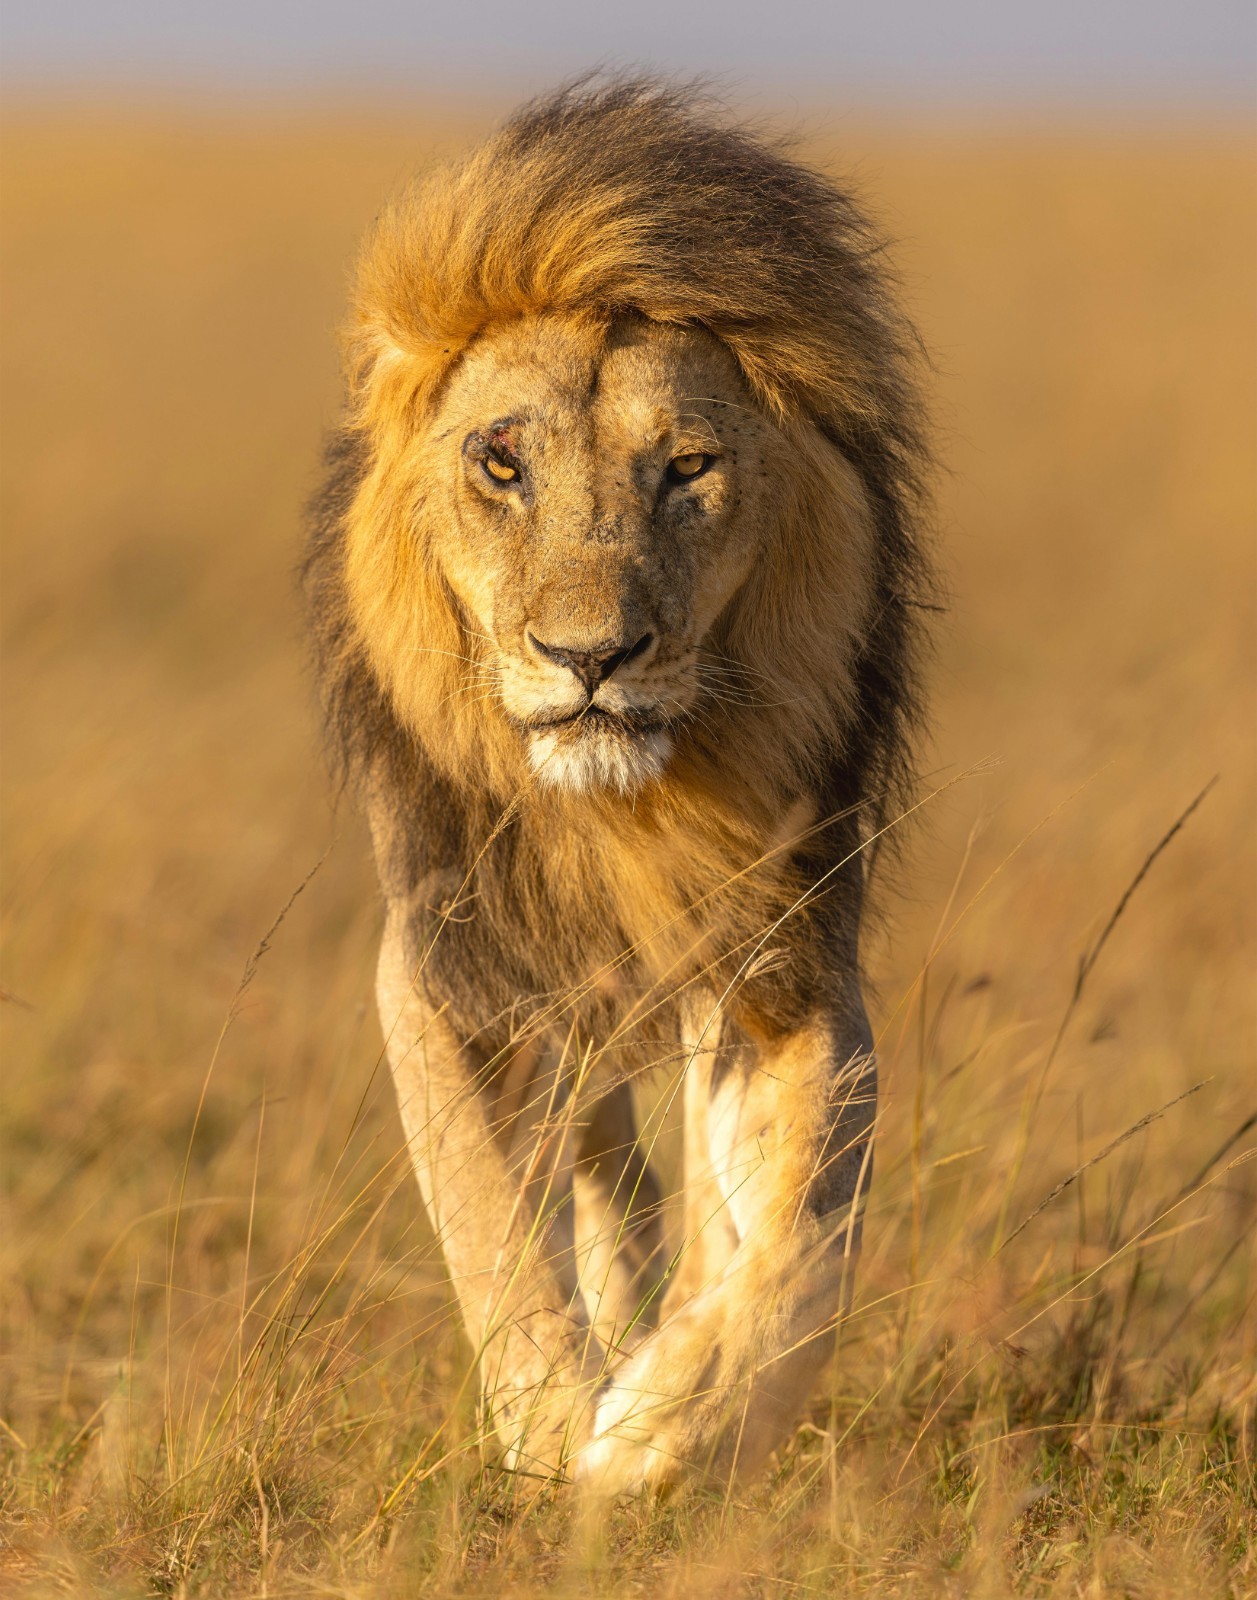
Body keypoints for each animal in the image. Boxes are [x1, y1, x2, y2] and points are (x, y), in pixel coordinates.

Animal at [303, 77, 932, 1496]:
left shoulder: (789, 970)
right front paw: (552, 1430)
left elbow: (800, 1239)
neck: (620, 813)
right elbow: (489, 1224)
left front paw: (662, 1429)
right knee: (600, 1178)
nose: (590, 657)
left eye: (687, 467)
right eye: (500, 462)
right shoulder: (448, 970)